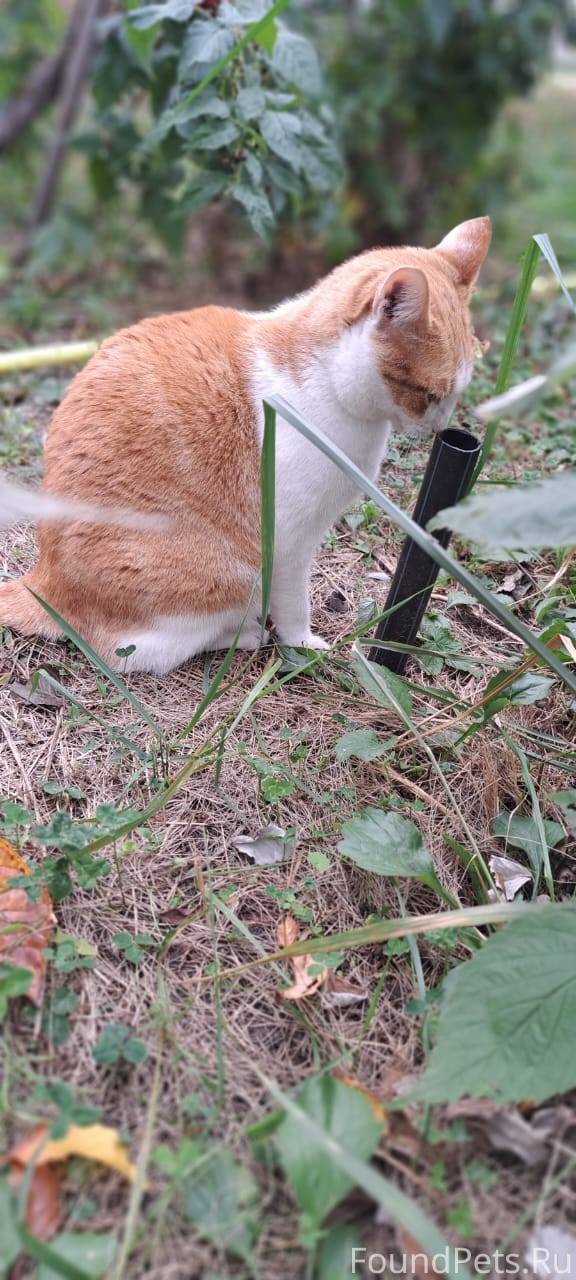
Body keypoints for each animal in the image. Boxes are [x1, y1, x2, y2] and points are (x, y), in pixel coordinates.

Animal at [0, 216, 491, 674]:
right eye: (429, 393)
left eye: (458, 392)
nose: (441, 426)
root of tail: (43, 580)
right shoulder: (290, 544)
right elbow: (294, 607)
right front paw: (302, 644)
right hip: (231, 574)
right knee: (133, 653)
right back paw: (244, 634)